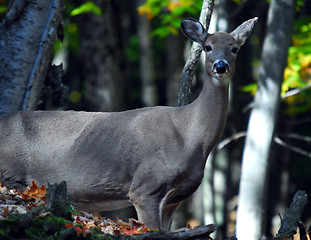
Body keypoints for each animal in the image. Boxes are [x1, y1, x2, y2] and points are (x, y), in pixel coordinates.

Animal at [0, 16, 258, 231]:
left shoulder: (175, 198)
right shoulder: (146, 187)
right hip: (11, 173)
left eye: (235, 48)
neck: (190, 137)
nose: (220, 66)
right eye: (207, 47)